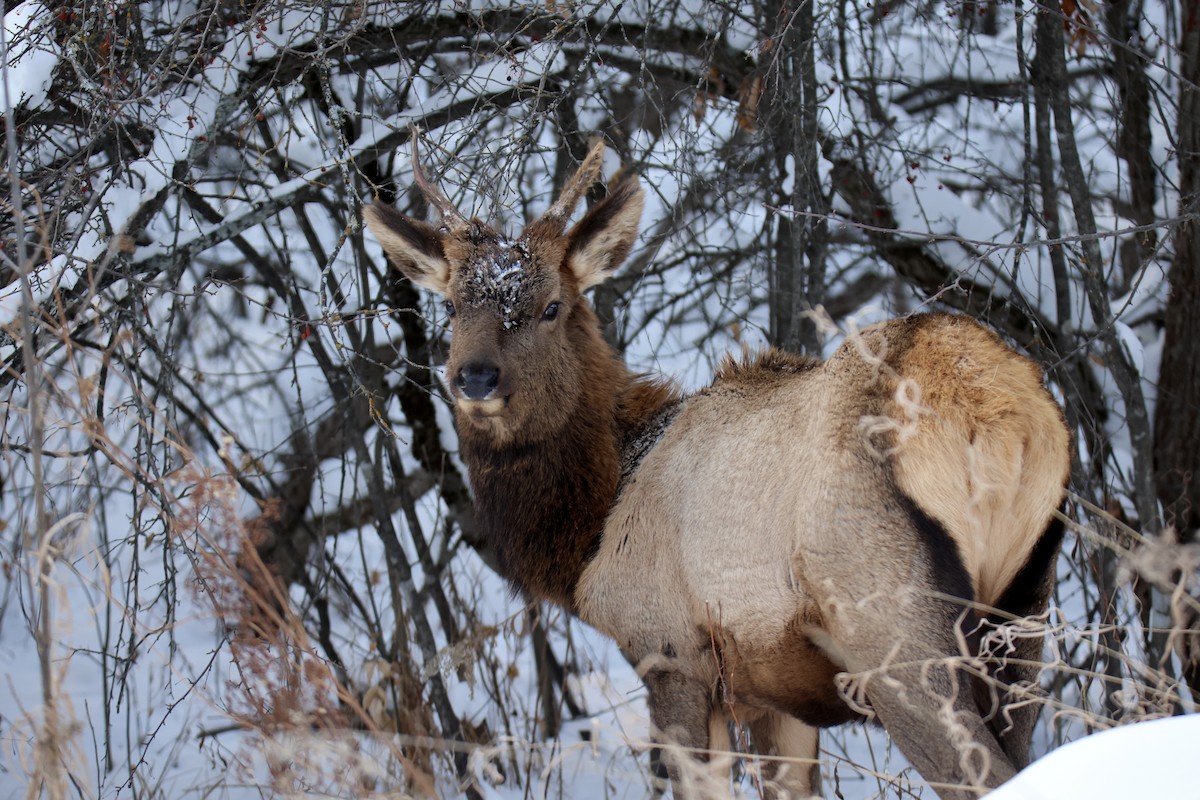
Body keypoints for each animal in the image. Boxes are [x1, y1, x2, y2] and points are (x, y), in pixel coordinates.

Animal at [362, 137, 1071, 800]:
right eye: (452, 306)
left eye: (551, 306)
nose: (474, 377)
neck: (591, 531)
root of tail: (1004, 421)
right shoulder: (778, 691)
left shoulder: (670, 651)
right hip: (1023, 615)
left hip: (892, 624)